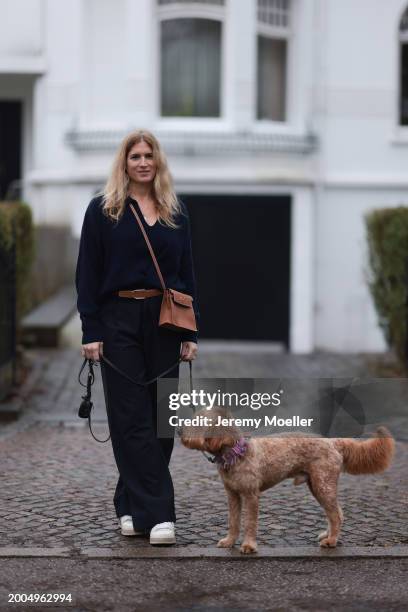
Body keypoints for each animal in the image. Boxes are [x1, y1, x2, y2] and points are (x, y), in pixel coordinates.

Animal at [180, 412, 394, 556]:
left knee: (335, 514)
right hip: (318, 486)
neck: (235, 454)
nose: (179, 430)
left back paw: (331, 541)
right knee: (336, 512)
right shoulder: (232, 495)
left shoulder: (251, 495)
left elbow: (249, 522)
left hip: (323, 485)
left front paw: (248, 545)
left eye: (197, 422)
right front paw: (229, 541)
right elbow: (233, 521)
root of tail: (333, 442)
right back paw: (327, 535)